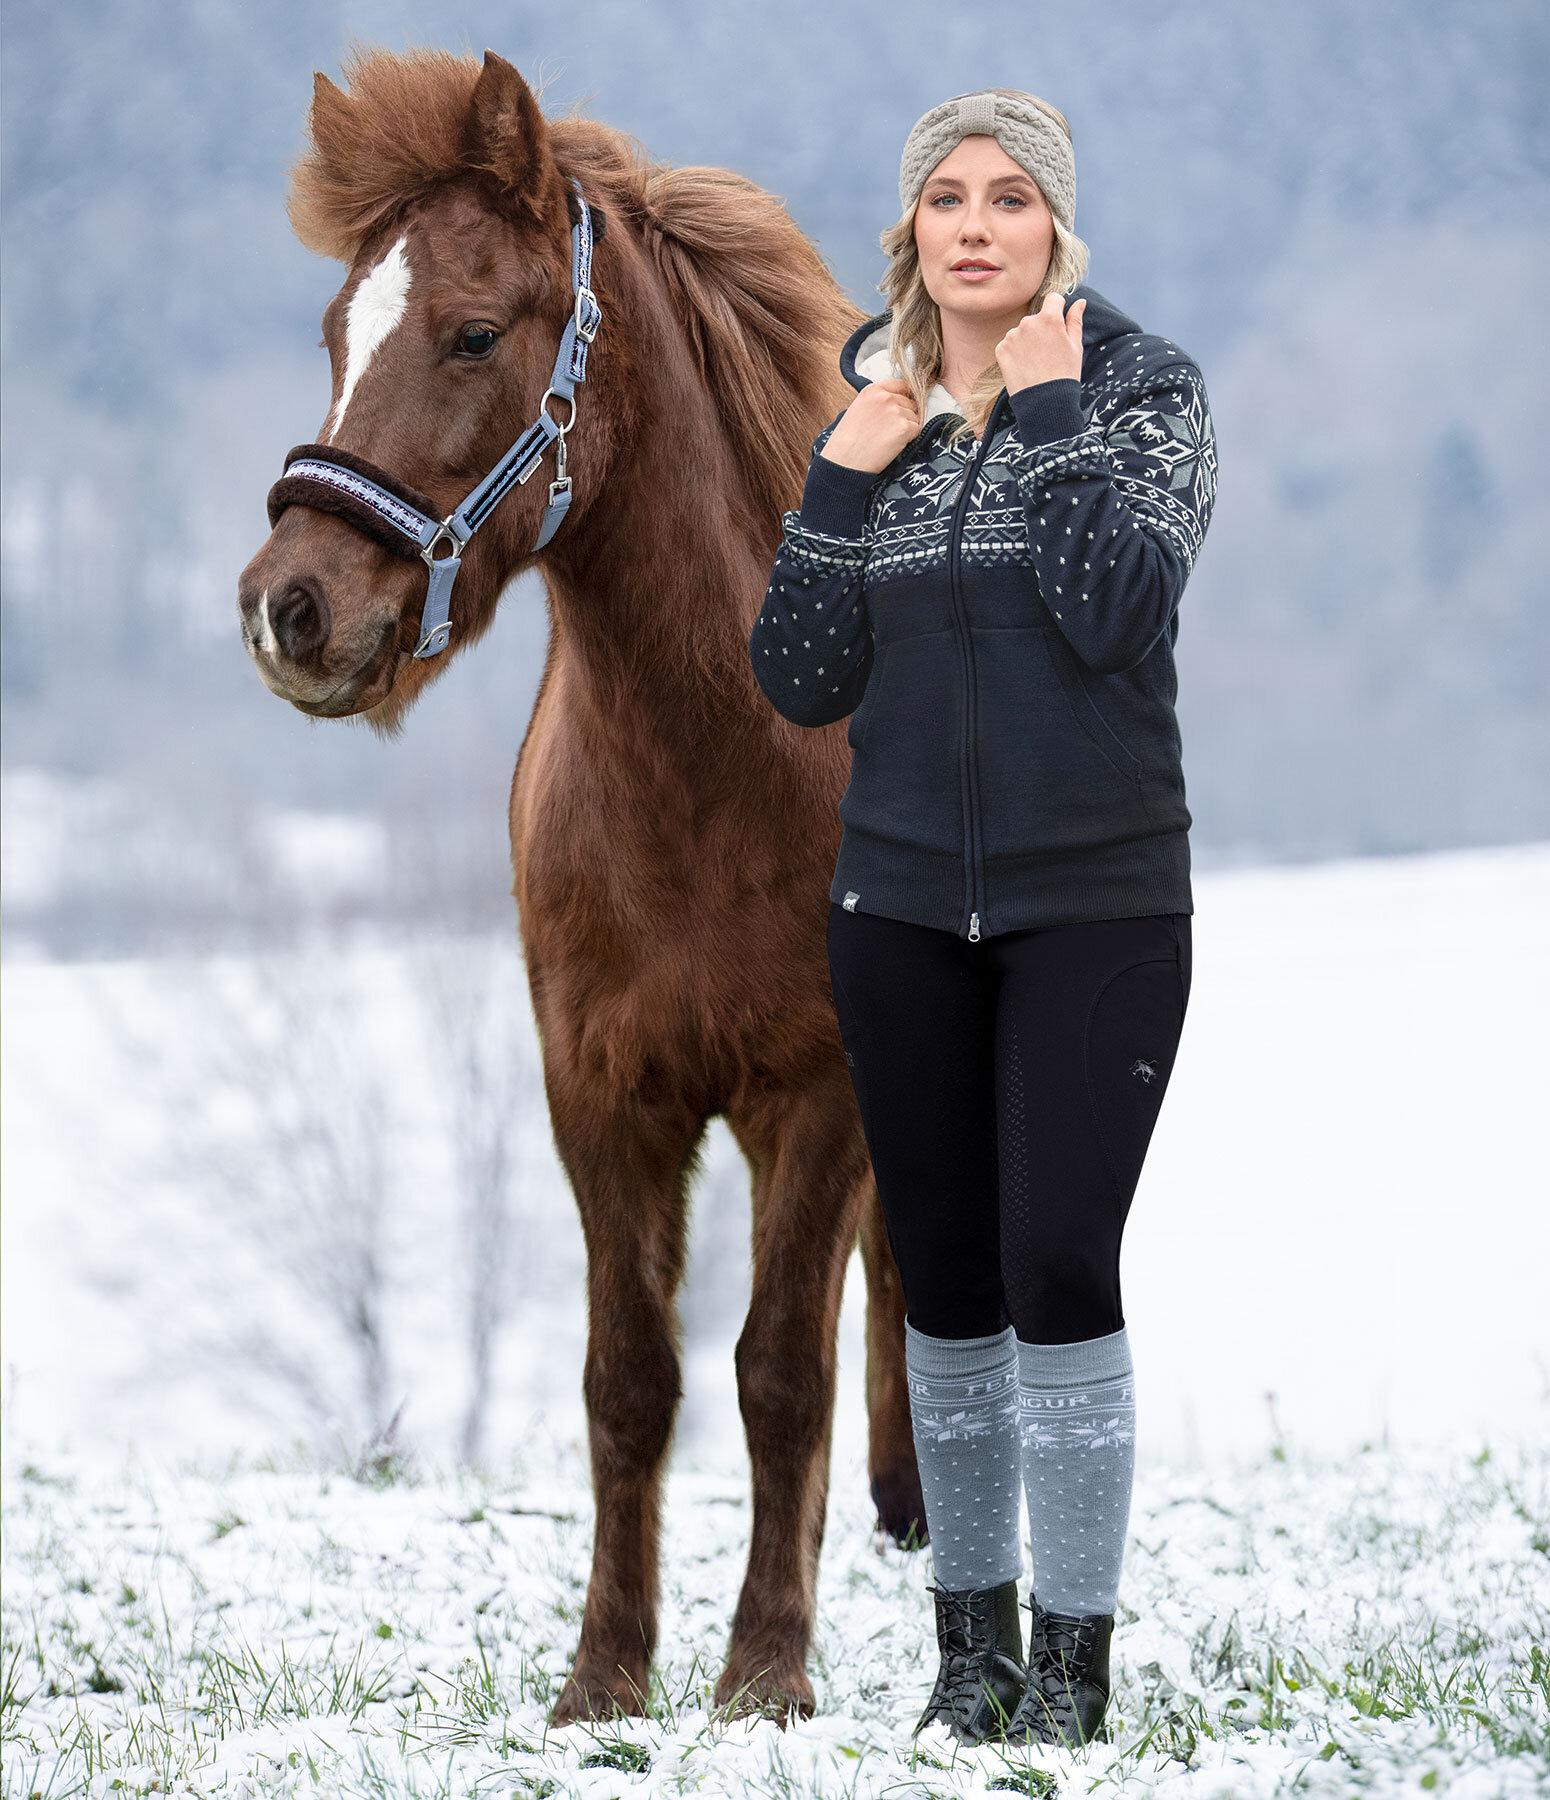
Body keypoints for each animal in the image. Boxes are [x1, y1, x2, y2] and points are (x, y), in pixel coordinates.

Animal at [235, 49, 921, 1720]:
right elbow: (631, 1380)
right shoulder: (599, 1096)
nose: (291, 607)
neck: (720, 764)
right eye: (337, 333)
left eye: (476, 332)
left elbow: (778, 1374)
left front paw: (763, 1679)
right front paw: (603, 1680)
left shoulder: (816, 1095)